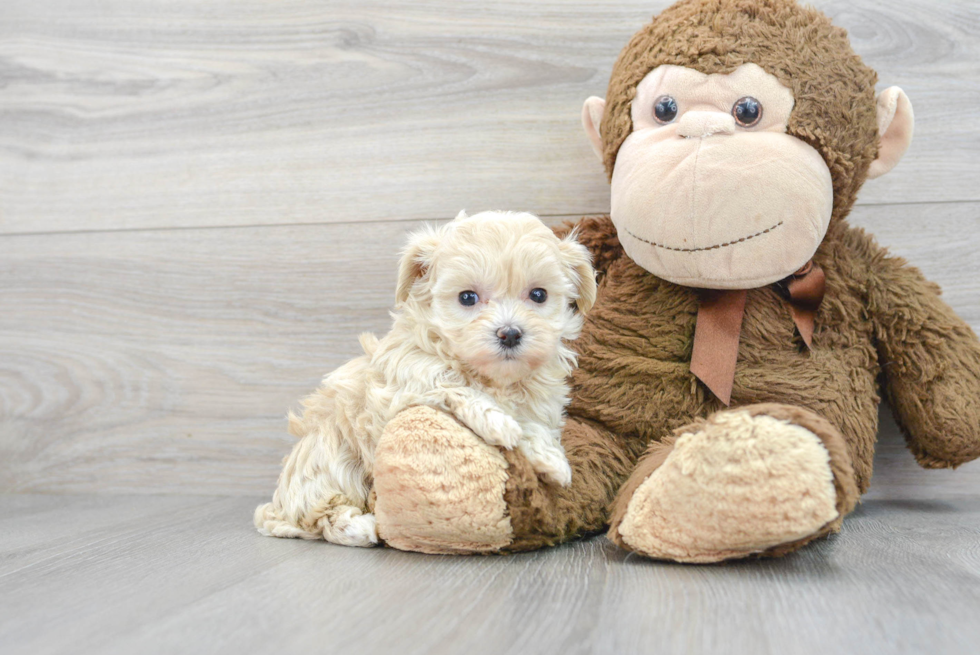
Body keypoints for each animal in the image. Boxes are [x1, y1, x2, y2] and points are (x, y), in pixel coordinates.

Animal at [253, 211, 596, 548]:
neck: (494, 378)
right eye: (467, 297)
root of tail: (279, 505)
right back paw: (360, 527)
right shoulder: (405, 377)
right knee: (321, 515)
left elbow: (533, 423)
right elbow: (450, 383)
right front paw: (499, 421)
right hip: (330, 462)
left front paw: (551, 458)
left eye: (538, 294)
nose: (510, 333)